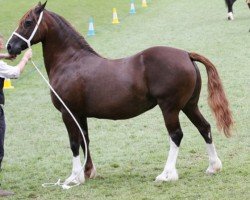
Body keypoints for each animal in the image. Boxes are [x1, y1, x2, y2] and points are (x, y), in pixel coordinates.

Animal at [6, 2, 232, 185]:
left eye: (28, 22)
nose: (10, 46)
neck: (70, 61)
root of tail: (186, 54)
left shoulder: (67, 113)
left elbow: (74, 143)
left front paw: (74, 177)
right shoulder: (80, 114)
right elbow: (85, 140)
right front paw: (88, 172)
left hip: (170, 108)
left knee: (176, 135)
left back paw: (166, 175)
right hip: (189, 106)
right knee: (204, 128)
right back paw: (213, 166)